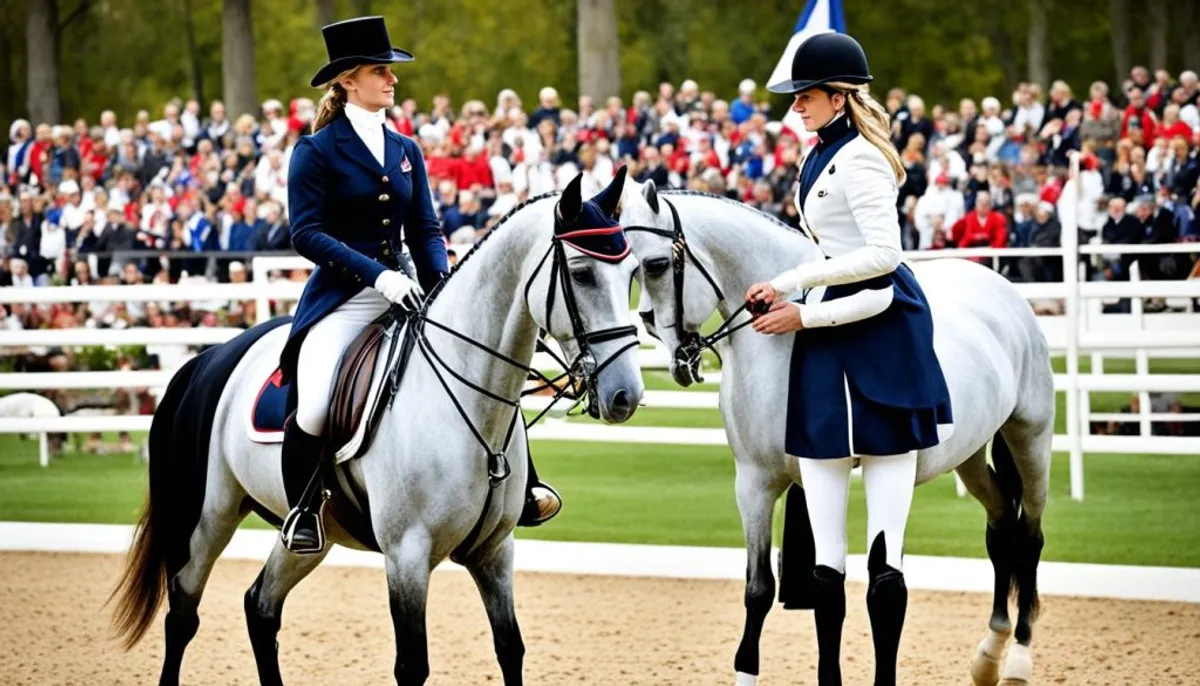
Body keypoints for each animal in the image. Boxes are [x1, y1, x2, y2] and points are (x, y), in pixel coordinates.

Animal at [110, 171, 648, 686]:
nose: (626, 395)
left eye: (633, 274)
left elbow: (509, 650)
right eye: (580, 273)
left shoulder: (495, 552)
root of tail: (208, 358)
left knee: (260, 607)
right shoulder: (407, 555)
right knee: (182, 615)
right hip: (205, 521)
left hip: (308, 534)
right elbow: (412, 666)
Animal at [624, 183, 1056, 686]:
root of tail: (1003, 290)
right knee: (1002, 525)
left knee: (1029, 535)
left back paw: (1018, 659)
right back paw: (989, 653)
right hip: (968, 458)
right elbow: (761, 589)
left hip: (1030, 440)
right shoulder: (754, 482)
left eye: (655, 265)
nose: (671, 348)